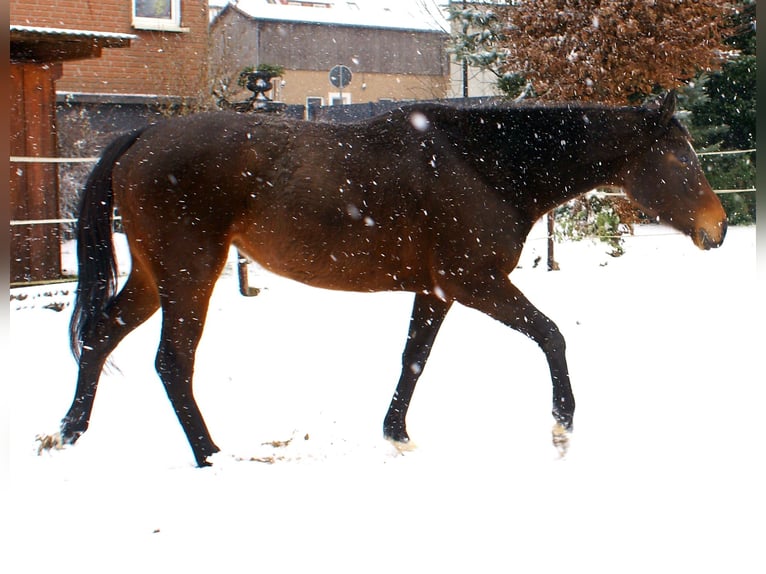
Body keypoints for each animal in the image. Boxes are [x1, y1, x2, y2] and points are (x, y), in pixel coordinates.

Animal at [61, 92, 727, 467]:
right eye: (678, 156)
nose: (717, 228)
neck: (484, 164)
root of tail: (142, 136)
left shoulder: (435, 292)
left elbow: (414, 360)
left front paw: (396, 434)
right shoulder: (475, 283)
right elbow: (552, 335)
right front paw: (562, 426)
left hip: (156, 279)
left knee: (99, 335)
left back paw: (70, 433)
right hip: (189, 274)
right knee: (171, 362)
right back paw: (210, 458)